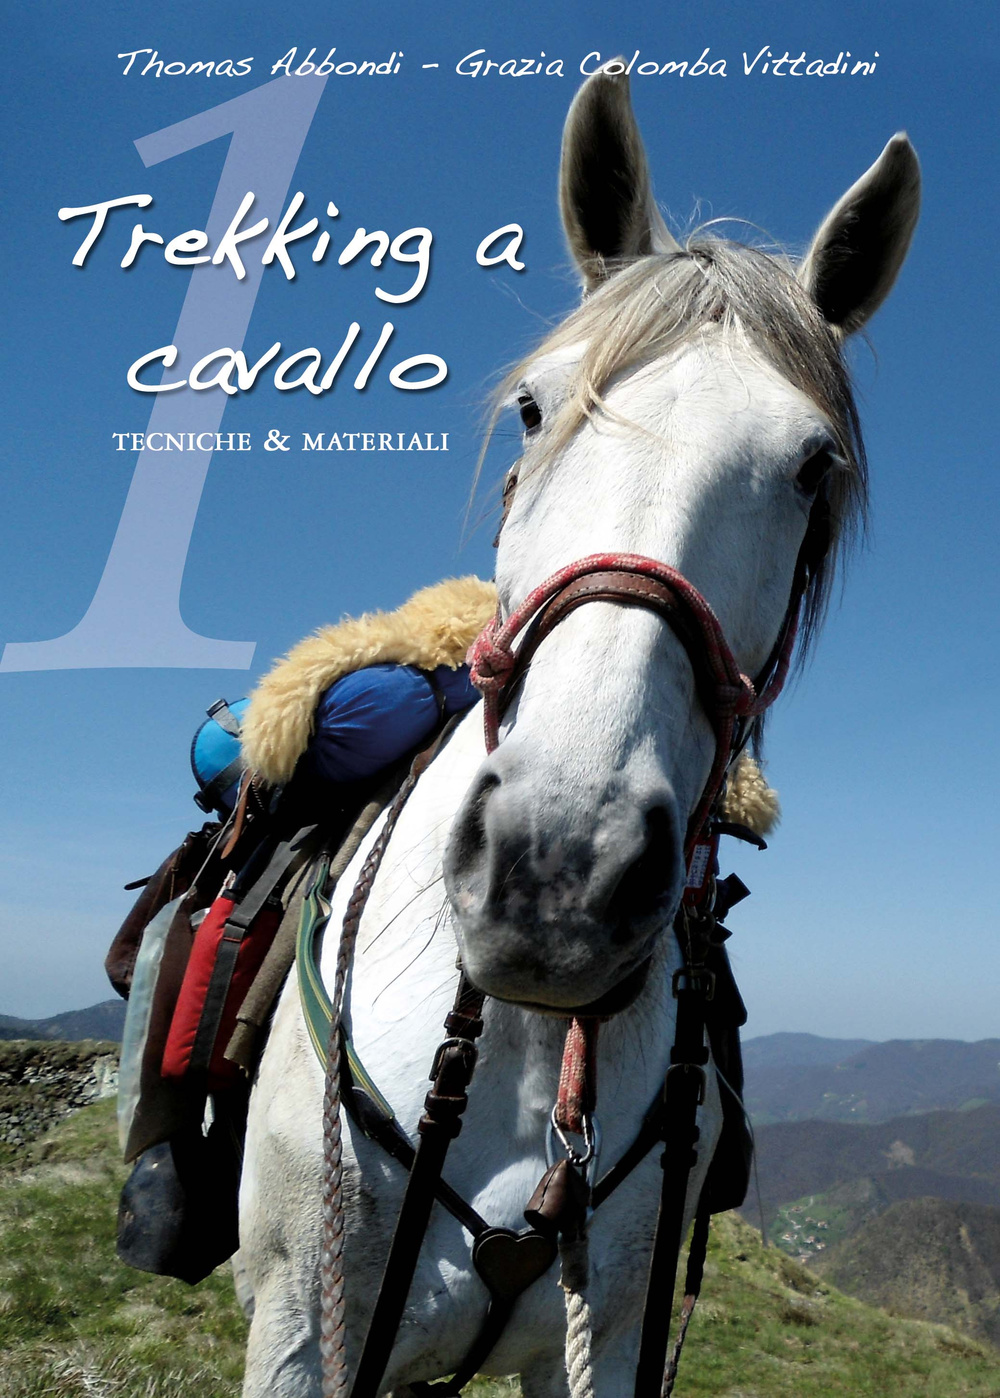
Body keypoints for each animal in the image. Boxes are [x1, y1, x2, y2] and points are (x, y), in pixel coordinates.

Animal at [238, 69, 920, 1398]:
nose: (559, 873)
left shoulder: (599, 1344)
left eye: (812, 466)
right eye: (532, 407)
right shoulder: (299, 1327)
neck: (524, 1048)